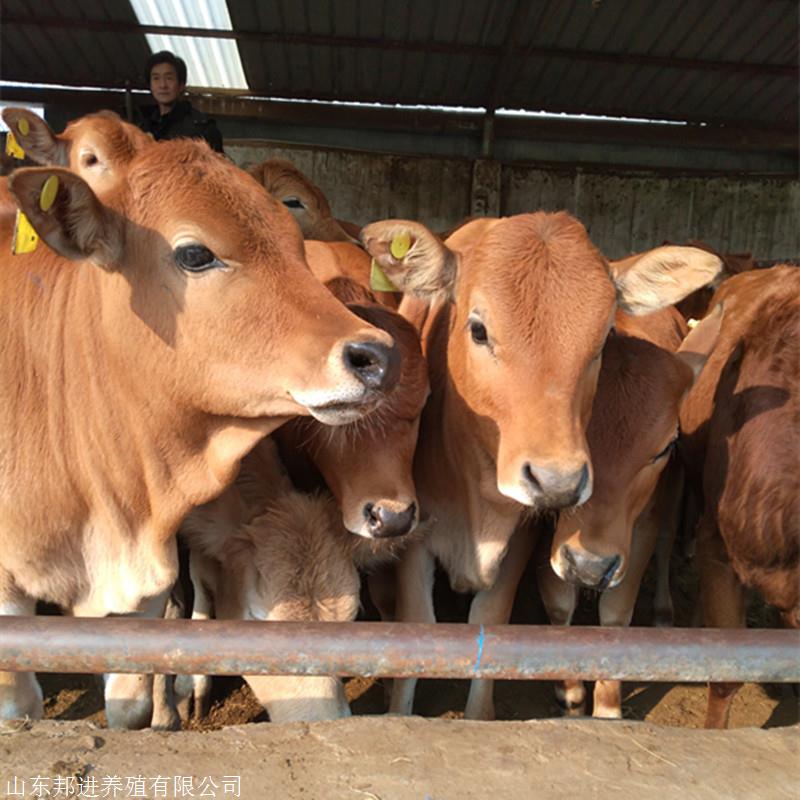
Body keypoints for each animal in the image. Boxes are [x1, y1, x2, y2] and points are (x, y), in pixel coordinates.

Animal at [536, 306, 720, 720]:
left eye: (664, 447)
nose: (589, 567)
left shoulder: (642, 526)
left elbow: (617, 613)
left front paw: (607, 707)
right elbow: (558, 600)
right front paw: (569, 691)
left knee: (667, 545)